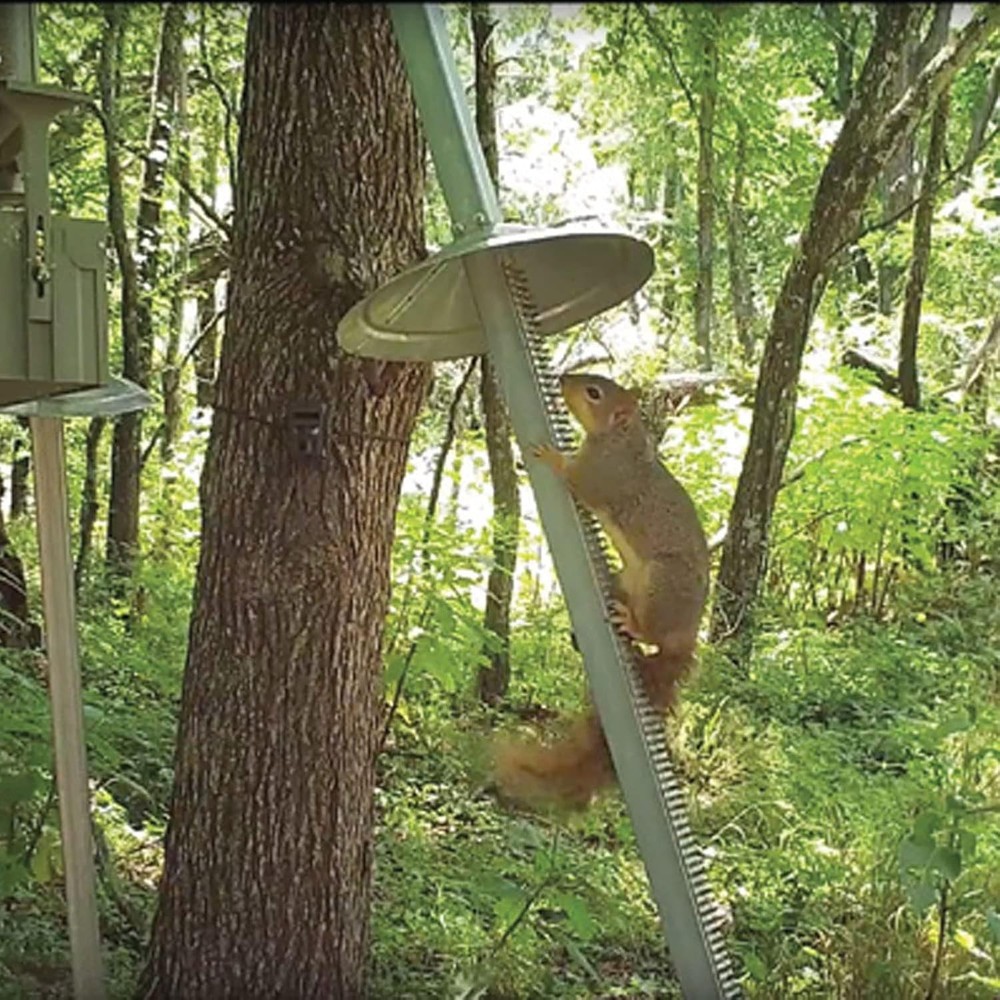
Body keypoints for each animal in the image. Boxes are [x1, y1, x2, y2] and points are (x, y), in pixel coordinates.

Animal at [493, 373, 709, 812]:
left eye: (594, 393)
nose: (562, 379)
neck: (621, 438)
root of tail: (688, 636)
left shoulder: (603, 474)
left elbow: (579, 482)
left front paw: (551, 457)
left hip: (662, 583)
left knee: (652, 633)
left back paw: (633, 623)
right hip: (630, 579)